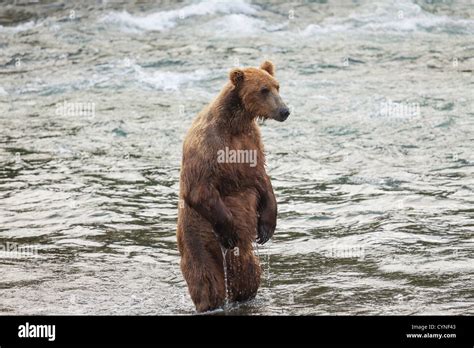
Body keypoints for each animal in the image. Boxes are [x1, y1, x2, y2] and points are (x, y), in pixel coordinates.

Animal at [177, 60, 288, 312]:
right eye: (263, 90)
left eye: (277, 86)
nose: (284, 111)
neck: (236, 123)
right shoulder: (209, 144)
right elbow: (199, 189)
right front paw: (229, 231)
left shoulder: (251, 143)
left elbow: (262, 179)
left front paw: (266, 228)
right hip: (198, 238)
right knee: (207, 280)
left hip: (240, 256)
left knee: (247, 274)